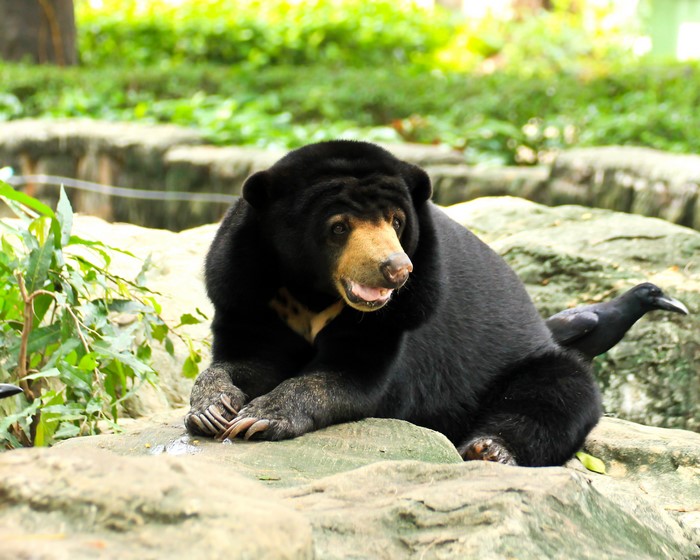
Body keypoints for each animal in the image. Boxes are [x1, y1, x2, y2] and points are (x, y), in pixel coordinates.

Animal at [185, 140, 601, 467]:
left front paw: (260, 417)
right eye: (339, 226)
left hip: (526, 363)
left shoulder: (403, 314)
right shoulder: (246, 289)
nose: (396, 269)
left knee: (558, 393)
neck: (314, 292)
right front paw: (212, 409)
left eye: (396, 221)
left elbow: (348, 378)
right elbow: (248, 358)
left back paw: (489, 449)